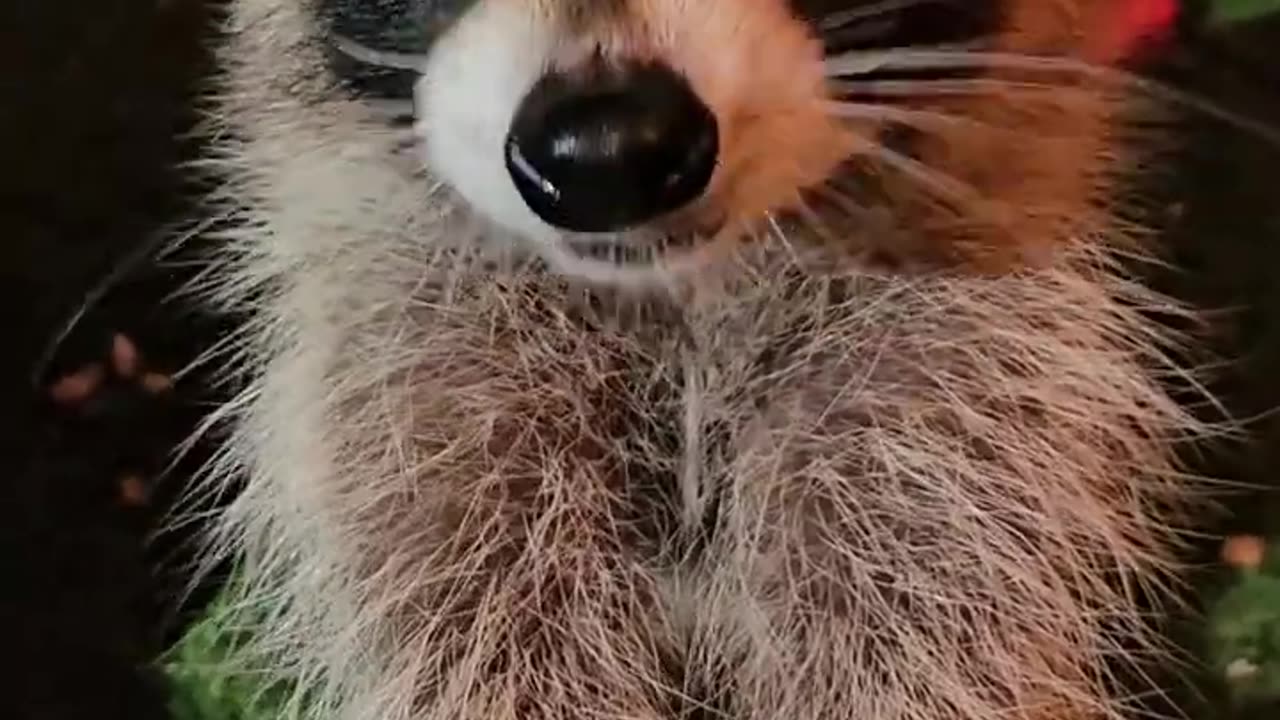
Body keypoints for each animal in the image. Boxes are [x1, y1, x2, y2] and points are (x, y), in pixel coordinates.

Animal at [197, 1, 1208, 717]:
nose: (606, 148)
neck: (678, 296)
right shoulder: (412, 396)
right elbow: (470, 634)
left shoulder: (959, 393)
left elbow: (926, 629)